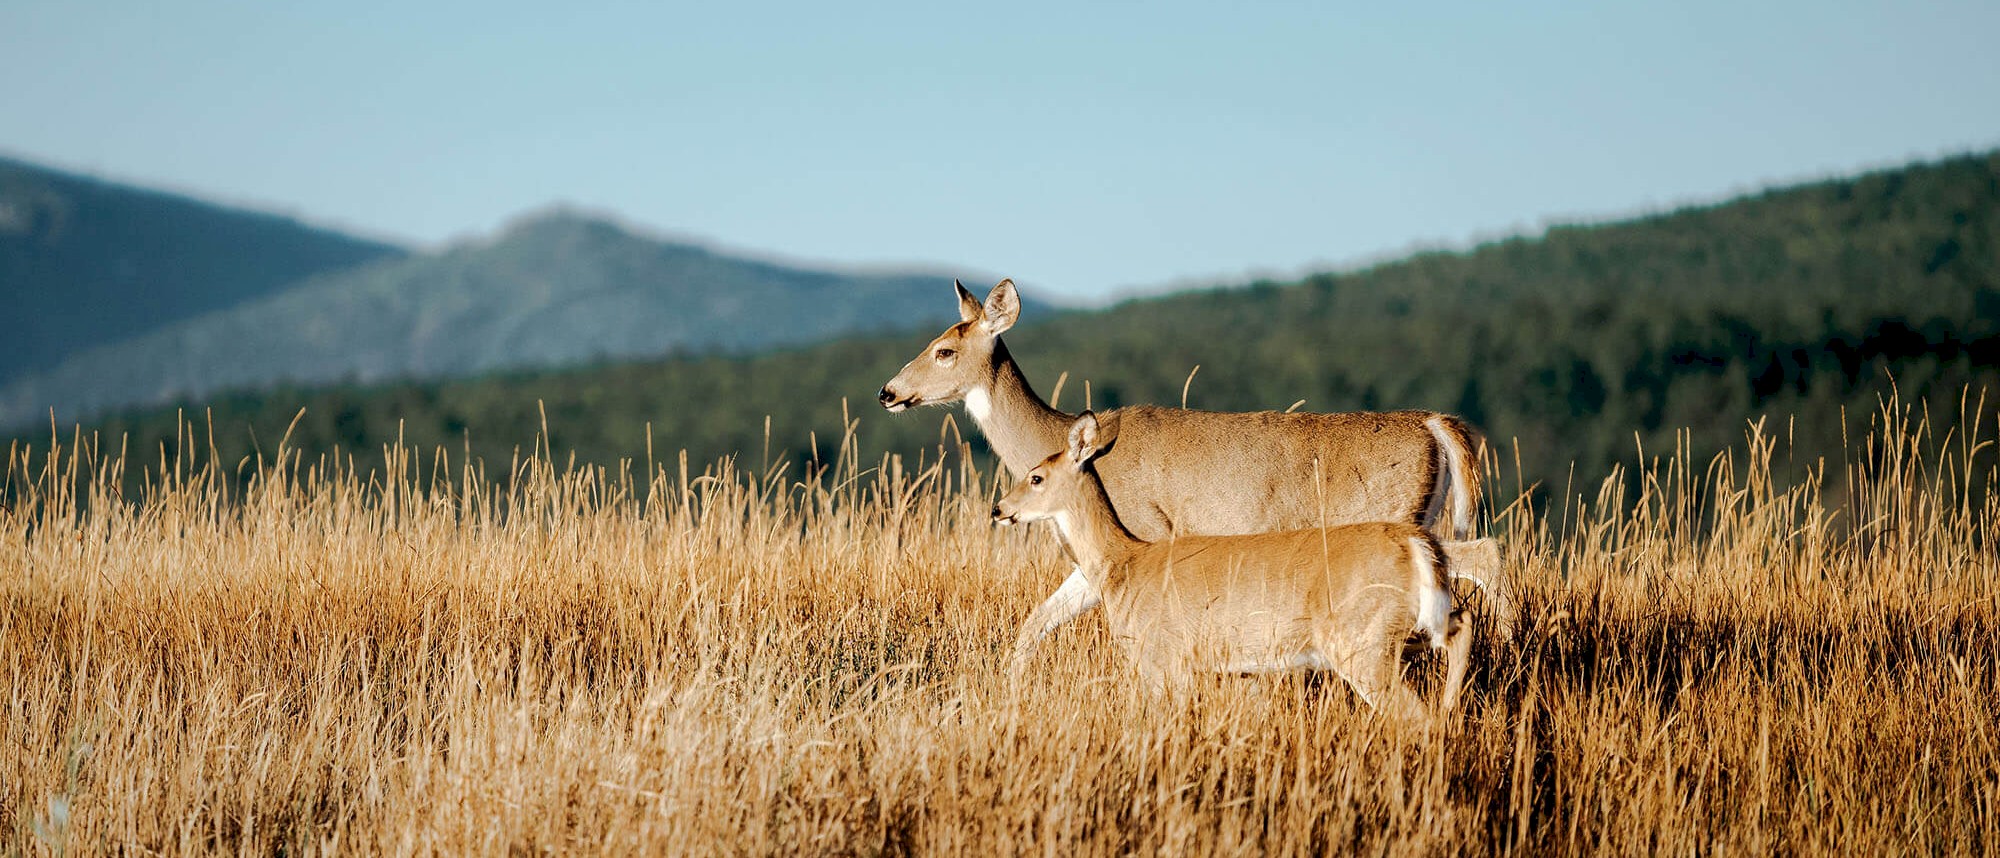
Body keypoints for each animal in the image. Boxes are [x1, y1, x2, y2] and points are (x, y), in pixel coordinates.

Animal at [880, 278, 1512, 660]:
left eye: (944, 351)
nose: (888, 391)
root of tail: (1435, 424)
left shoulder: (1146, 532)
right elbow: (1034, 623)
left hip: (1393, 522)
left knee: (1488, 554)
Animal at [988, 412, 1472, 712]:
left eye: (1036, 477)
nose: (998, 509)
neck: (1122, 561)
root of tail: (1416, 543)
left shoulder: (1160, 657)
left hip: (1363, 643)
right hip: (1406, 628)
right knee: (1461, 625)